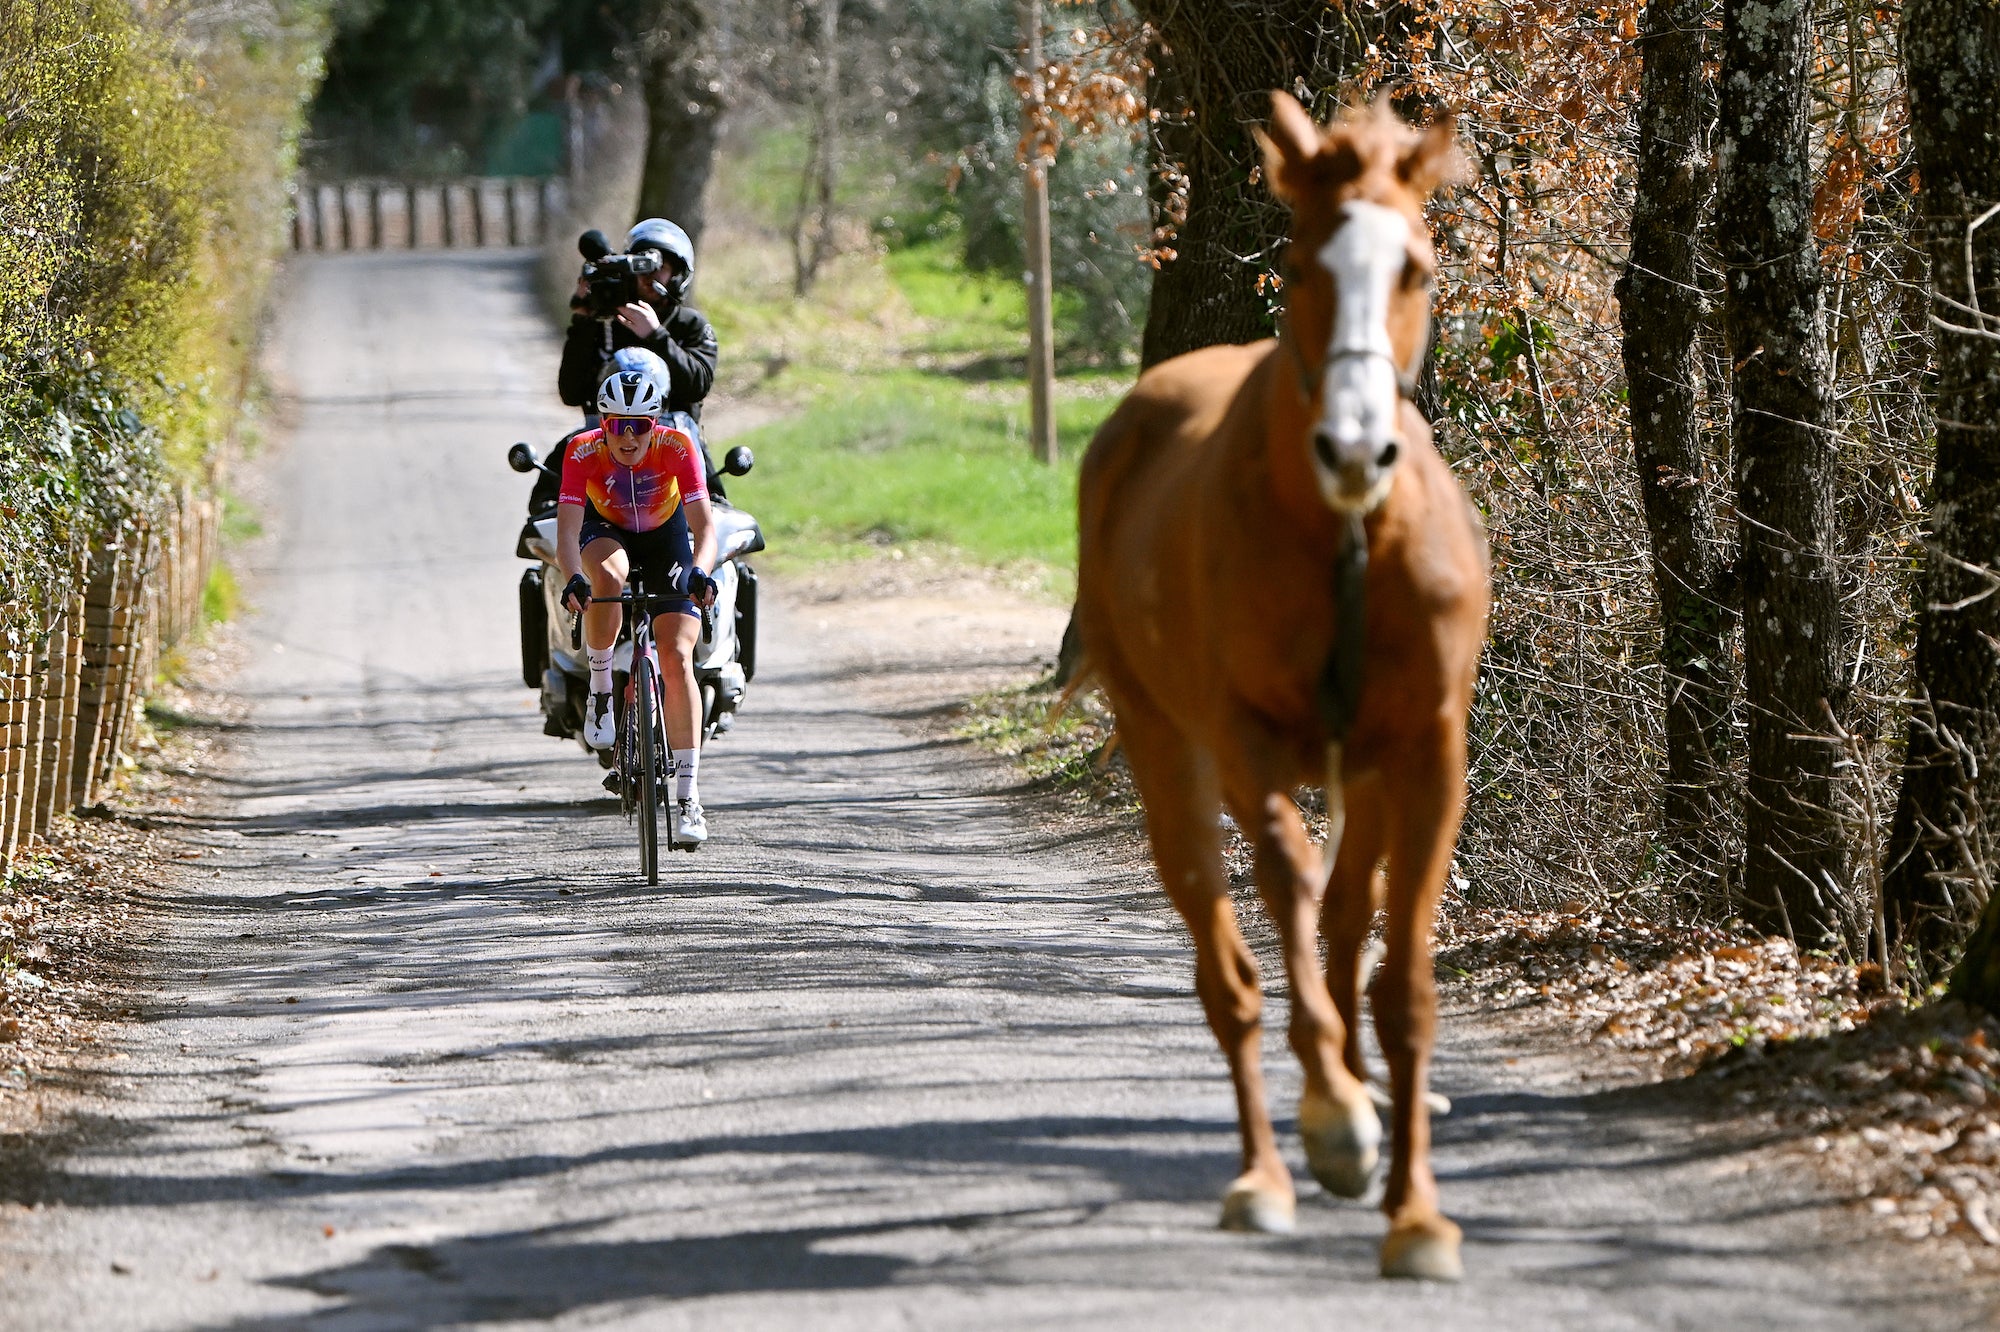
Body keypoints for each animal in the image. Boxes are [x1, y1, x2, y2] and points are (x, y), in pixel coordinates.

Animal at [1073, 93, 1488, 1281]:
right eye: (1300, 263)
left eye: (1417, 267)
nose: (1353, 446)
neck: (1345, 537)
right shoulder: (1246, 740)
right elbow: (1285, 905)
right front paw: (1337, 1120)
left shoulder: (1425, 751)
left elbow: (1398, 981)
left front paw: (1417, 1215)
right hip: (1168, 748)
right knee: (1233, 967)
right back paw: (1269, 1167)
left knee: (1343, 924)